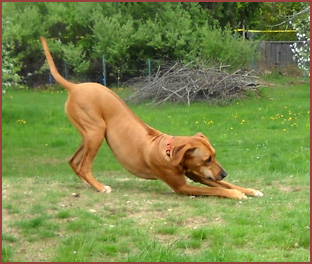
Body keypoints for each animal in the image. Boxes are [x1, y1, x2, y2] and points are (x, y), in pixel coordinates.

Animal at [39, 36, 264, 199]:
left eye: (215, 155)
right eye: (207, 159)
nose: (224, 172)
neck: (169, 150)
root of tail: (75, 86)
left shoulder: (197, 174)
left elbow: (224, 184)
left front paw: (250, 190)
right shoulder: (181, 186)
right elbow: (218, 189)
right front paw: (235, 194)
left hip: (89, 134)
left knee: (74, 161)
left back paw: (90, 184)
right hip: (96, 132)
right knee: (84, 166)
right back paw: (100, 187)